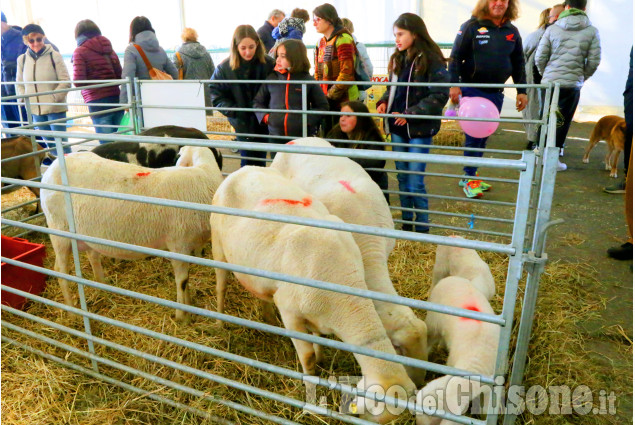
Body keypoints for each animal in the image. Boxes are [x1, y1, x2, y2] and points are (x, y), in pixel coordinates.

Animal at [40, 144, 224, 320]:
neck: (205, 175)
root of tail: (54, 165)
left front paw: (189, 305)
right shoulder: (178, 244)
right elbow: (182, 281)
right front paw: (182, 317)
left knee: (92, 257)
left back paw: (102, 288)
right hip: (59, 232)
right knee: (60, 271)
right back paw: (72, 312)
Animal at [210, 166, 418, 424]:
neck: (345, 292)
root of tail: (242, 169)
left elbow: (319, 339)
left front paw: (322, 359)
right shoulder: (290, 313)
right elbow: (307, 357)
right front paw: (310, 393)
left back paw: (267, 319)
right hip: (218, 246)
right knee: (220, 285)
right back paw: (220, 322)